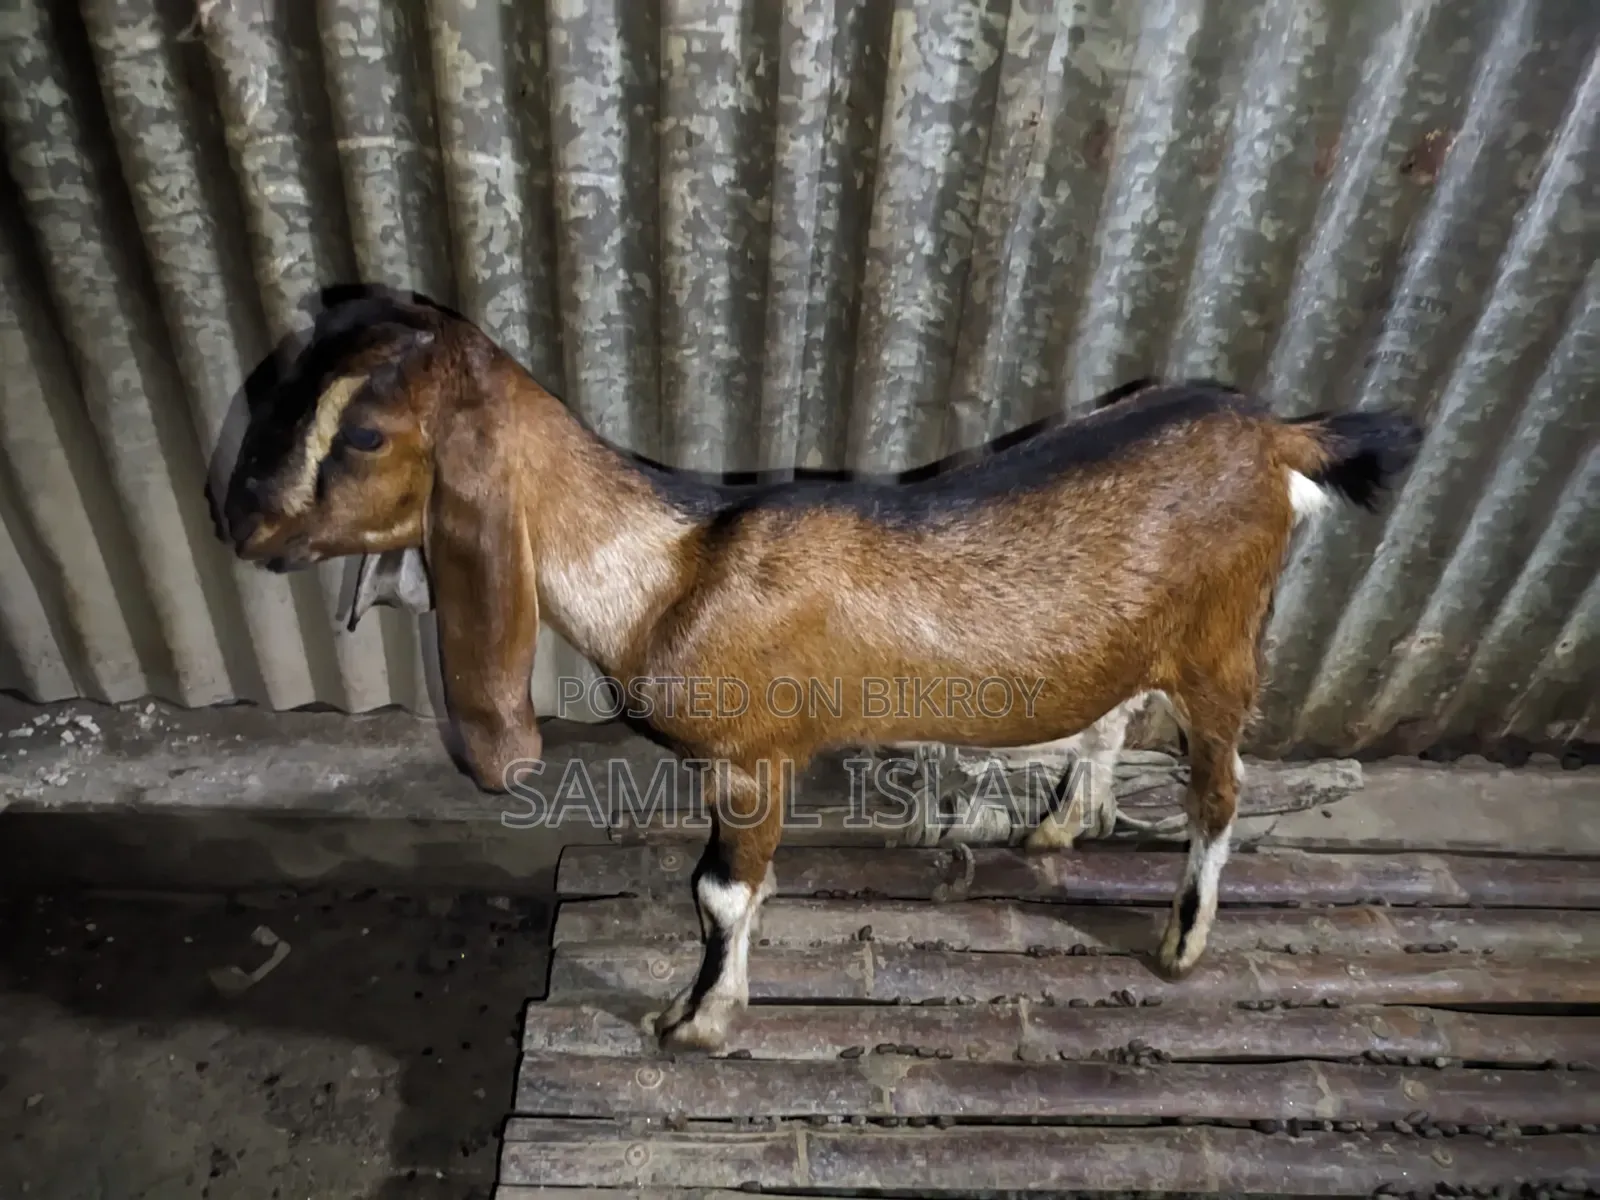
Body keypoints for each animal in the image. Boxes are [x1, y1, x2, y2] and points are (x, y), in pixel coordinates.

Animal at [218, 287, 1423, 1053]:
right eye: (280, 392)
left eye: (364, 435)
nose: (238, 521)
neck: (668, 567)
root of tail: (1279, 436)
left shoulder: (759, 755)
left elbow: (720, 892)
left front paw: (695, 1024)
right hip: (1143, 638)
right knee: (1112, 715)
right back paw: (1055, 829)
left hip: (1224, 645)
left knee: (1221, 787)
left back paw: (1179, 943)